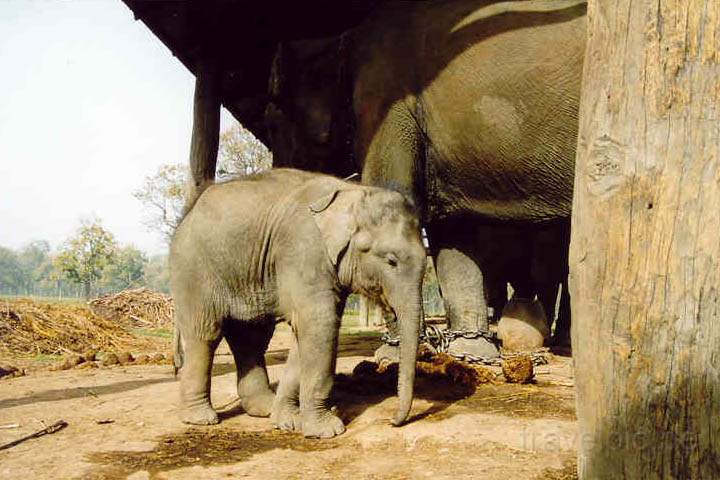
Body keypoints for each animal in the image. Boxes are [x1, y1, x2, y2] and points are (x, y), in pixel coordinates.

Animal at [170, 169, 428, 438]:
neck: (354, 192)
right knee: (205, 334)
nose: (393, 422)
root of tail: (188, 213)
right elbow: (320, 325)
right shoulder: (304, 250)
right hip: (193, 270)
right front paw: (326, 431)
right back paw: (201, 419)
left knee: (251, 337)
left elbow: (306, 331)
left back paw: (264, 408)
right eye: (391, 261)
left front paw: (287, 422)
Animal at [264, 0, 584, 352]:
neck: (341, 39)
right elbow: (453, 227)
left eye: (272, 119)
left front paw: (392, 353)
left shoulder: (385, 103)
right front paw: (471, 352)